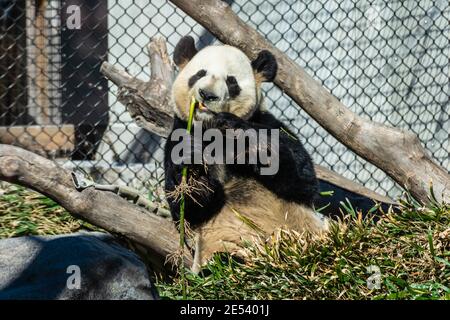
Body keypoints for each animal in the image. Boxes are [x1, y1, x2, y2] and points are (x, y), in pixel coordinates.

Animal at [164, 35, 326, 270]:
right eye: (200, 74)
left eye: (231, 82)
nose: (207, 95)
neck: (211, 129)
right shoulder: (177, 137)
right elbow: (187, 209)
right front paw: (192, 165)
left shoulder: (267, 122)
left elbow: (304, 182)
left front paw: (246, 140)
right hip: (223, 246)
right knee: (224, 263)